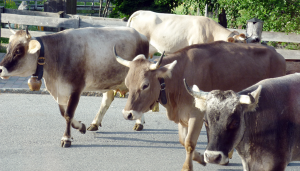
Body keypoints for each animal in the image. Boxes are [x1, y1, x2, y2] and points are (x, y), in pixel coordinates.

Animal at [113, 40, 286, 170]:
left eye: (145, 85)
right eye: (127, 83)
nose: (127, 114)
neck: (180, 76)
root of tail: (278, 55)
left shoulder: (197, 114)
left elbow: (189, 142)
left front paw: (187, 167)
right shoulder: (183, 117)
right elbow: (183, 141)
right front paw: (201, 158)